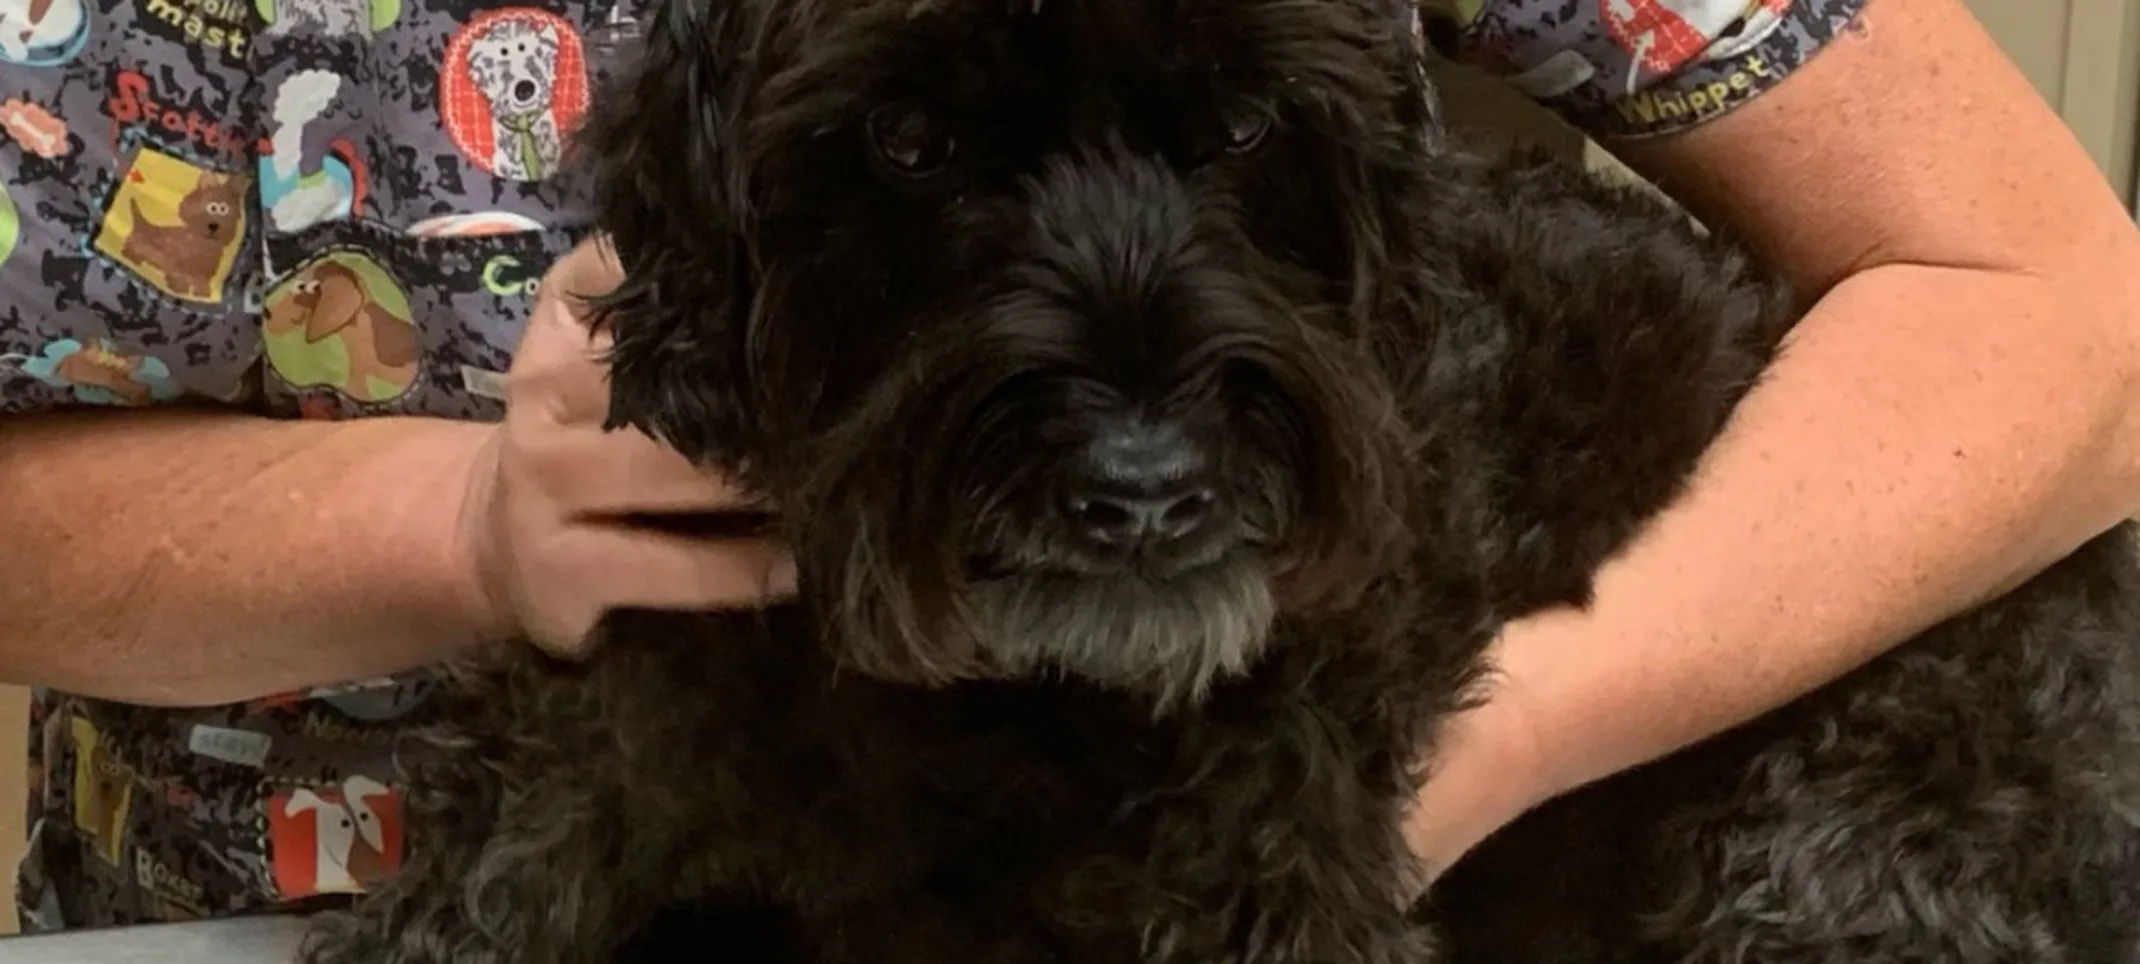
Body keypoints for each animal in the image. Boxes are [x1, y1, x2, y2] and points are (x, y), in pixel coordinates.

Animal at [293, 1, 2140, 964]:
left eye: (1249, 127)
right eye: (903, 143)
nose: (1143, 489)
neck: (1001, 702)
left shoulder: (1272, 866)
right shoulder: (624, 685)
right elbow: (492, 877)